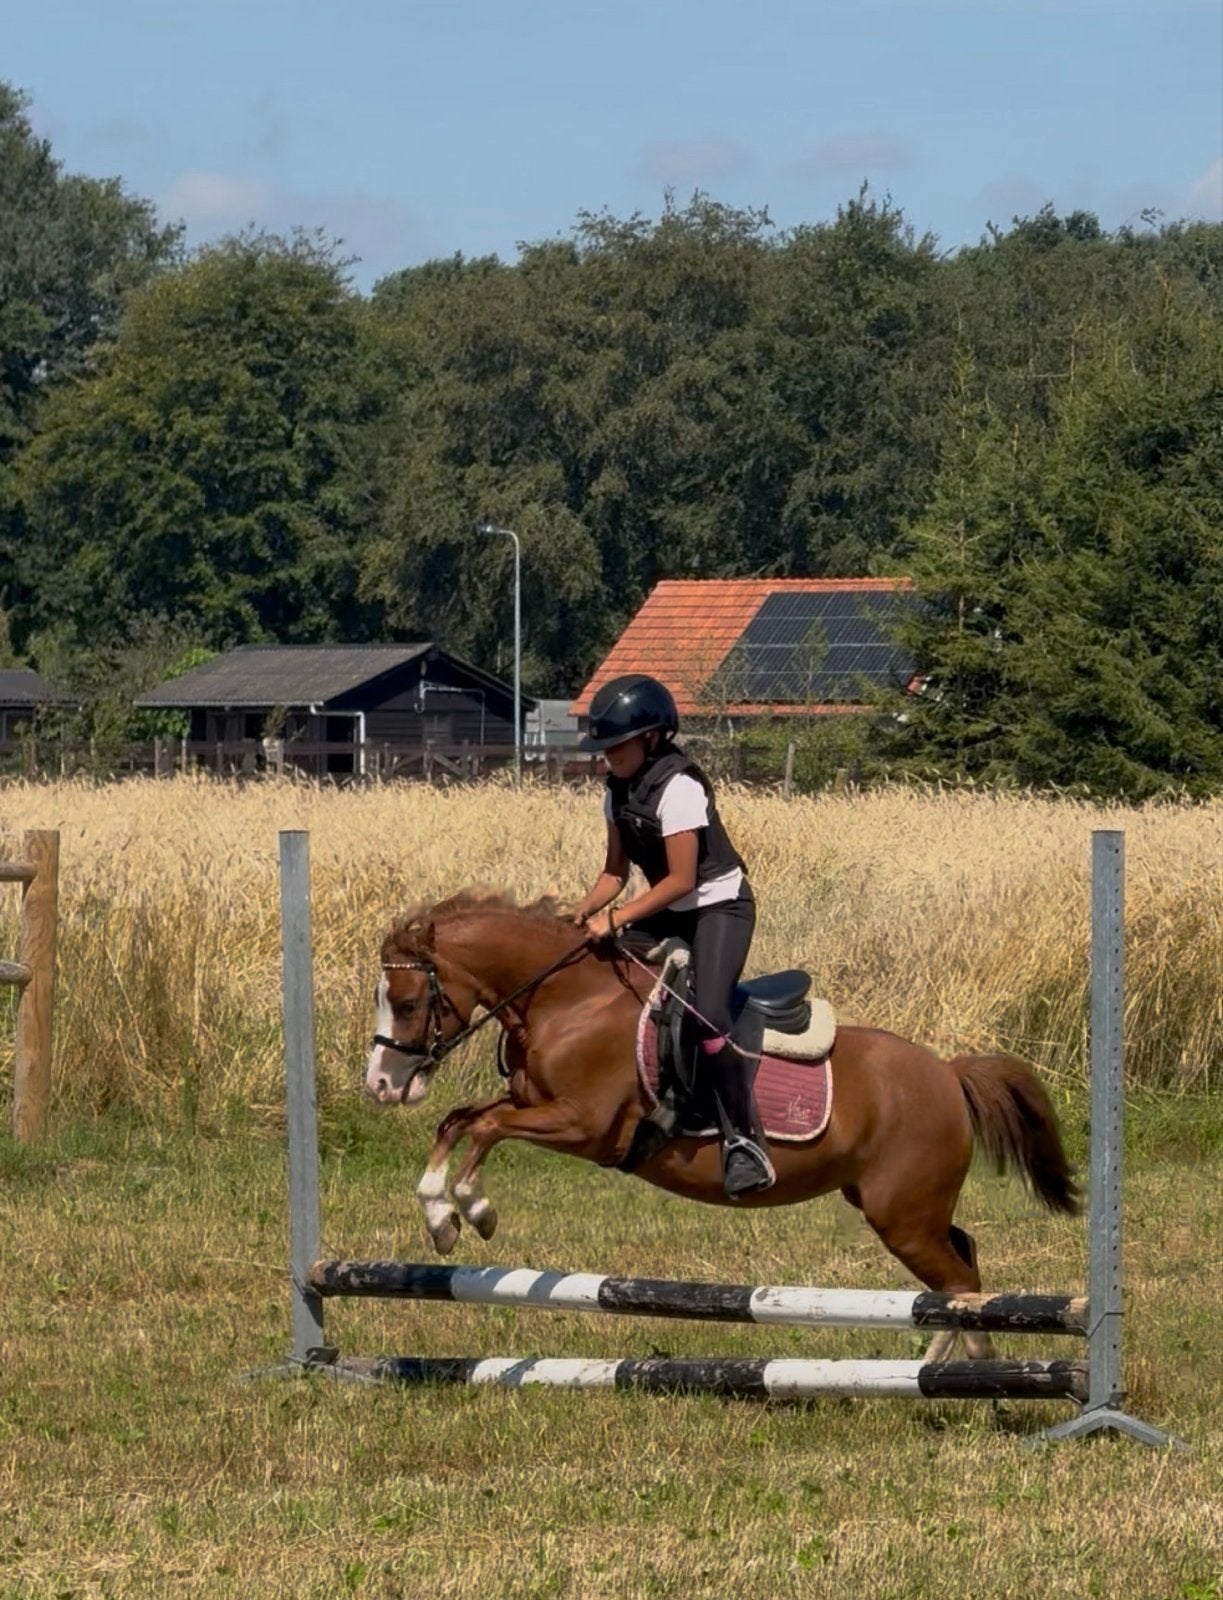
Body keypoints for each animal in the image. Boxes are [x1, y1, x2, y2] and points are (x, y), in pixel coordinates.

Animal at [364, 891, 1078, 1361]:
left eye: (408, 1002)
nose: (381, 1085)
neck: (568, 1002)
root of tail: (947, 1073)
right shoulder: (530, 1103)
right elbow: (459, 1121)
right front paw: (440, 1213)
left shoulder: (584, 1127)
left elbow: (486, 1131)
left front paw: (469, 1210)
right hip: (902, 1208)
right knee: (962, 1263)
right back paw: (946, 1365)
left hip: (902, 1215)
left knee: (960, 1281)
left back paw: (955, 1370)